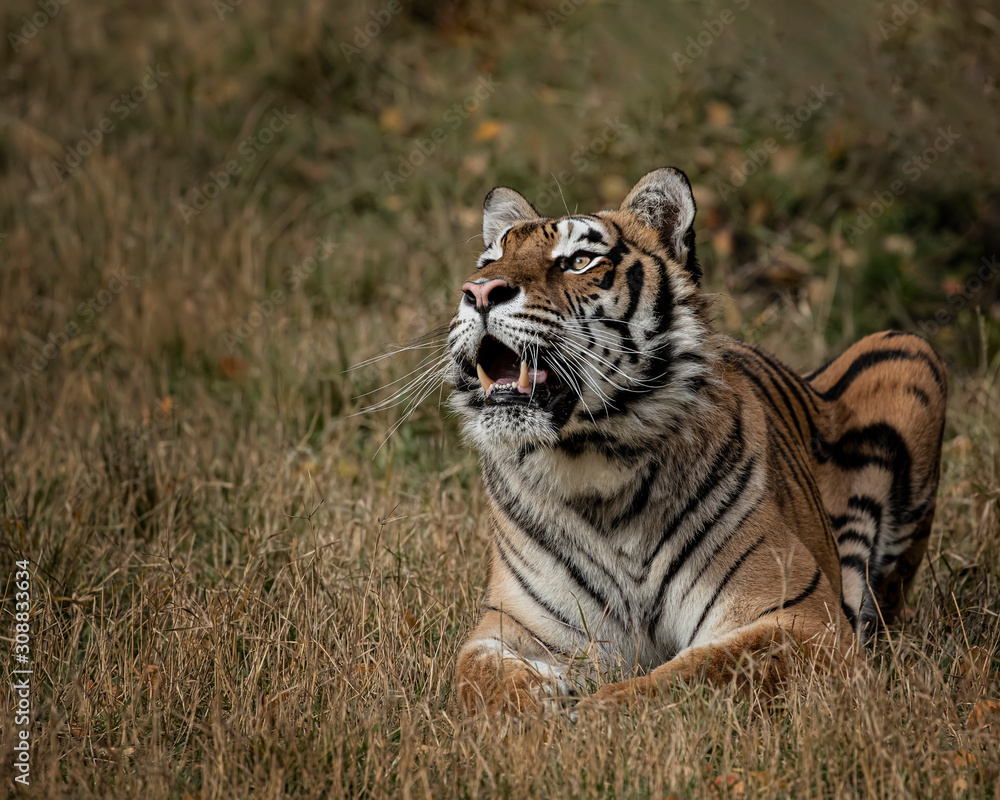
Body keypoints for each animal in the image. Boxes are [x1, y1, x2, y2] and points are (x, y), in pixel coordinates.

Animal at [443, 167, 947, 714]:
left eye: (579, 261)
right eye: (489, 262)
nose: (480, 291)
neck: (595, 465)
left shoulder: (803, 619)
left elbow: (687, 676)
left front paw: (587, 714)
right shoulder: (511, 626)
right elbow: (477, 677)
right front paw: (540, 708)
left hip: (906, 349)